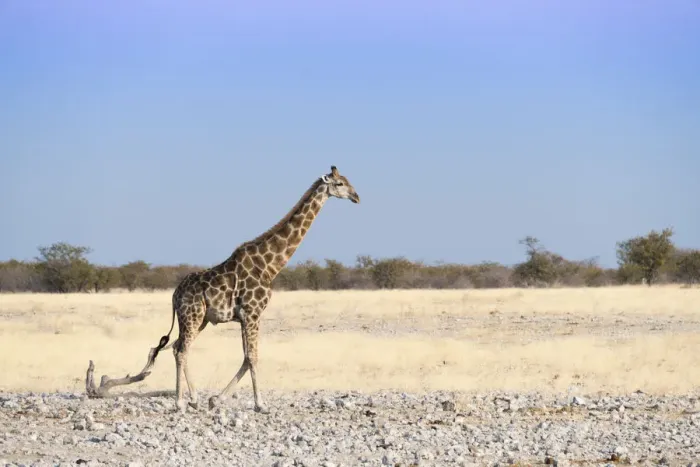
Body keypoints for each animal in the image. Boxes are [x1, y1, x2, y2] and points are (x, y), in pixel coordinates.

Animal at [144, 165, 360, 413]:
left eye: (348, 181)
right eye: (340, 183)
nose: (356, 197)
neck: (269, 265)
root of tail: (174, 295)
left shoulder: (244, 317)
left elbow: (246, 357)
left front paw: (216, 399)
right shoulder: (252, 313)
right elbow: (253, 358)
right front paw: (260, 404)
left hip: (199, 320)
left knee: (177, 348)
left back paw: (194, 399)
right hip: (192, 316)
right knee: (180, 350)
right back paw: (180, 402)